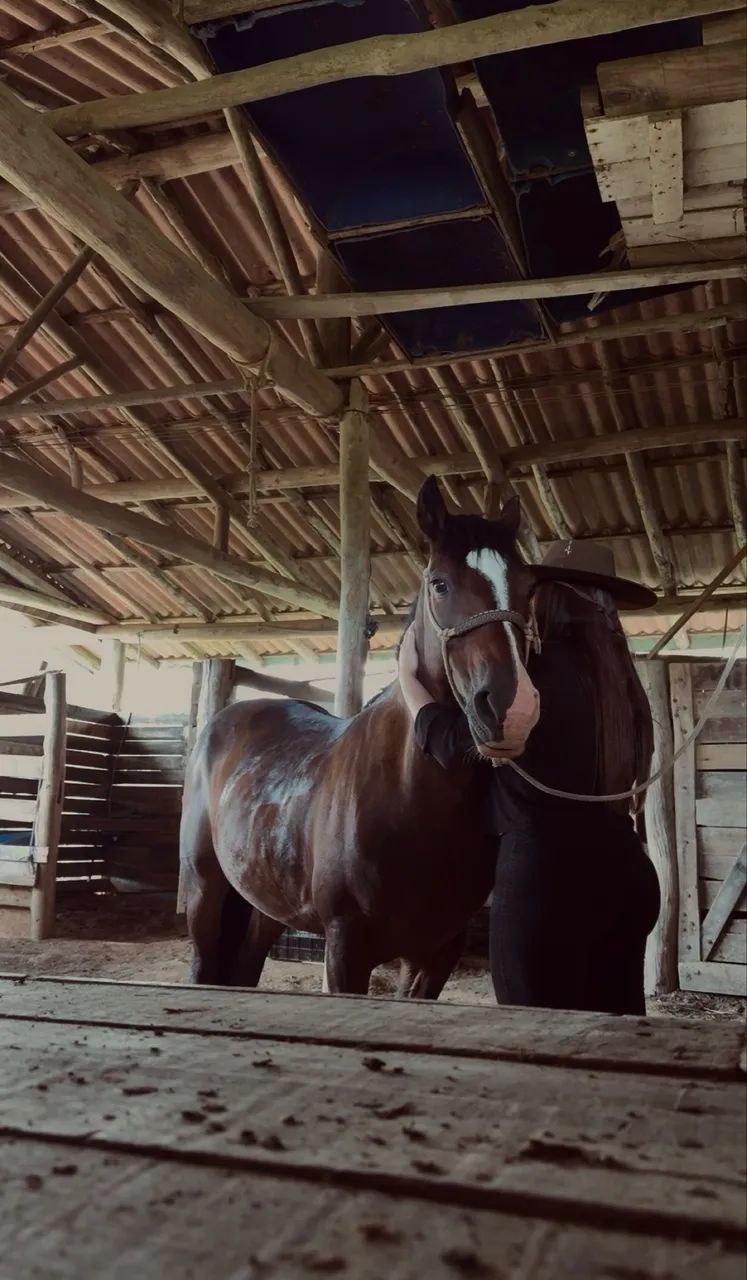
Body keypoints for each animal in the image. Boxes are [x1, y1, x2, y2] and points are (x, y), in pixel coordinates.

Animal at [180, 476, 540, 997]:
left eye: (528, 587)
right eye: (440, 583)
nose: (513, 709)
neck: (409, 794)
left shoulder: (436, 955)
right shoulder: (346, 949)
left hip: (264, 905)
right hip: (205, 891)